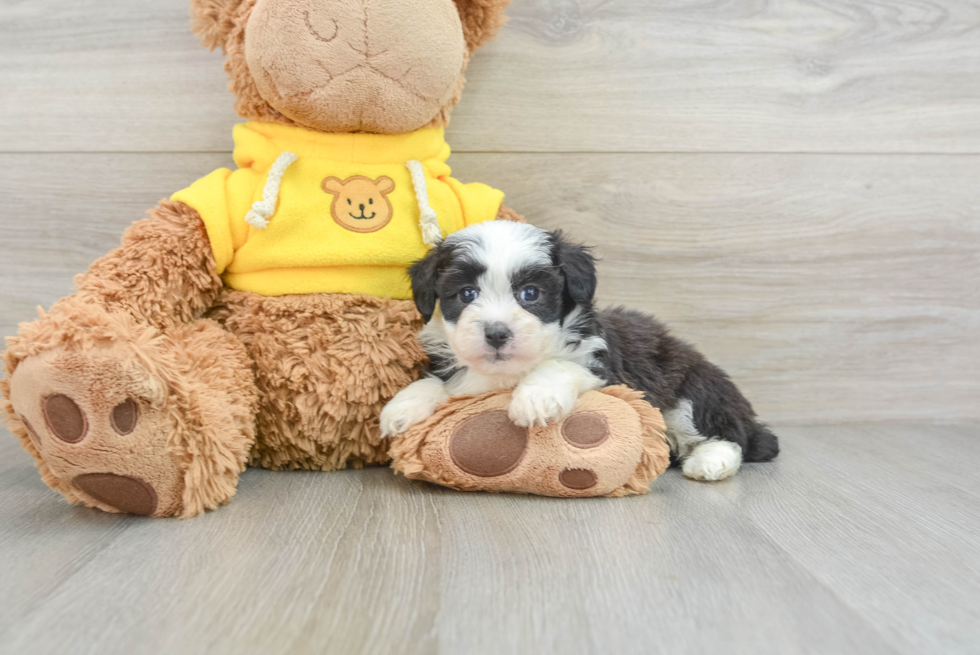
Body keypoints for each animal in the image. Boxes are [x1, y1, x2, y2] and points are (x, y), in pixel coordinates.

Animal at [378, 220, 776, 482]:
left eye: (531, 294)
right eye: (466, 294)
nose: (496, 333)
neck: (508, 373)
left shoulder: (605, 368)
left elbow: (560, 366)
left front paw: (534, 399)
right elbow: (436, 381)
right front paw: (402, 407)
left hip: (695, 389)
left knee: (729, 436)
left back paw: (710, 463)